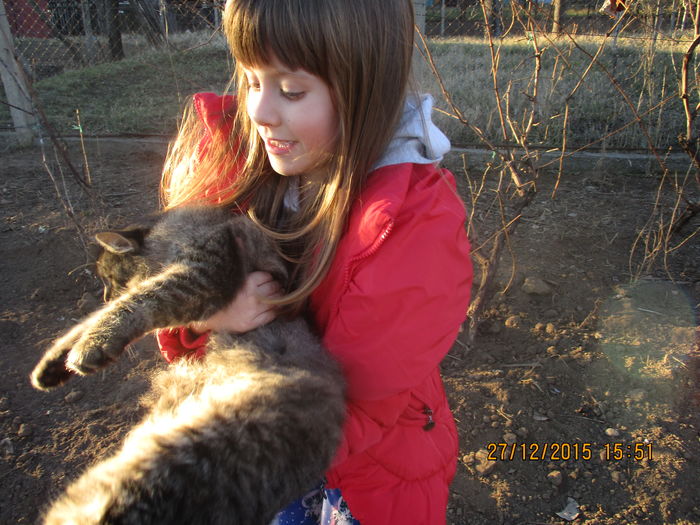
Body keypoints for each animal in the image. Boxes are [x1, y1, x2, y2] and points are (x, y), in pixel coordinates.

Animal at [30, 205, 348, 524]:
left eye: (110, 279)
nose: (106, 295)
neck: (167, 237)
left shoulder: (202, 273)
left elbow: (138, 302)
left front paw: (93, 345)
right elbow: (86, 323)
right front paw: (51, 366)